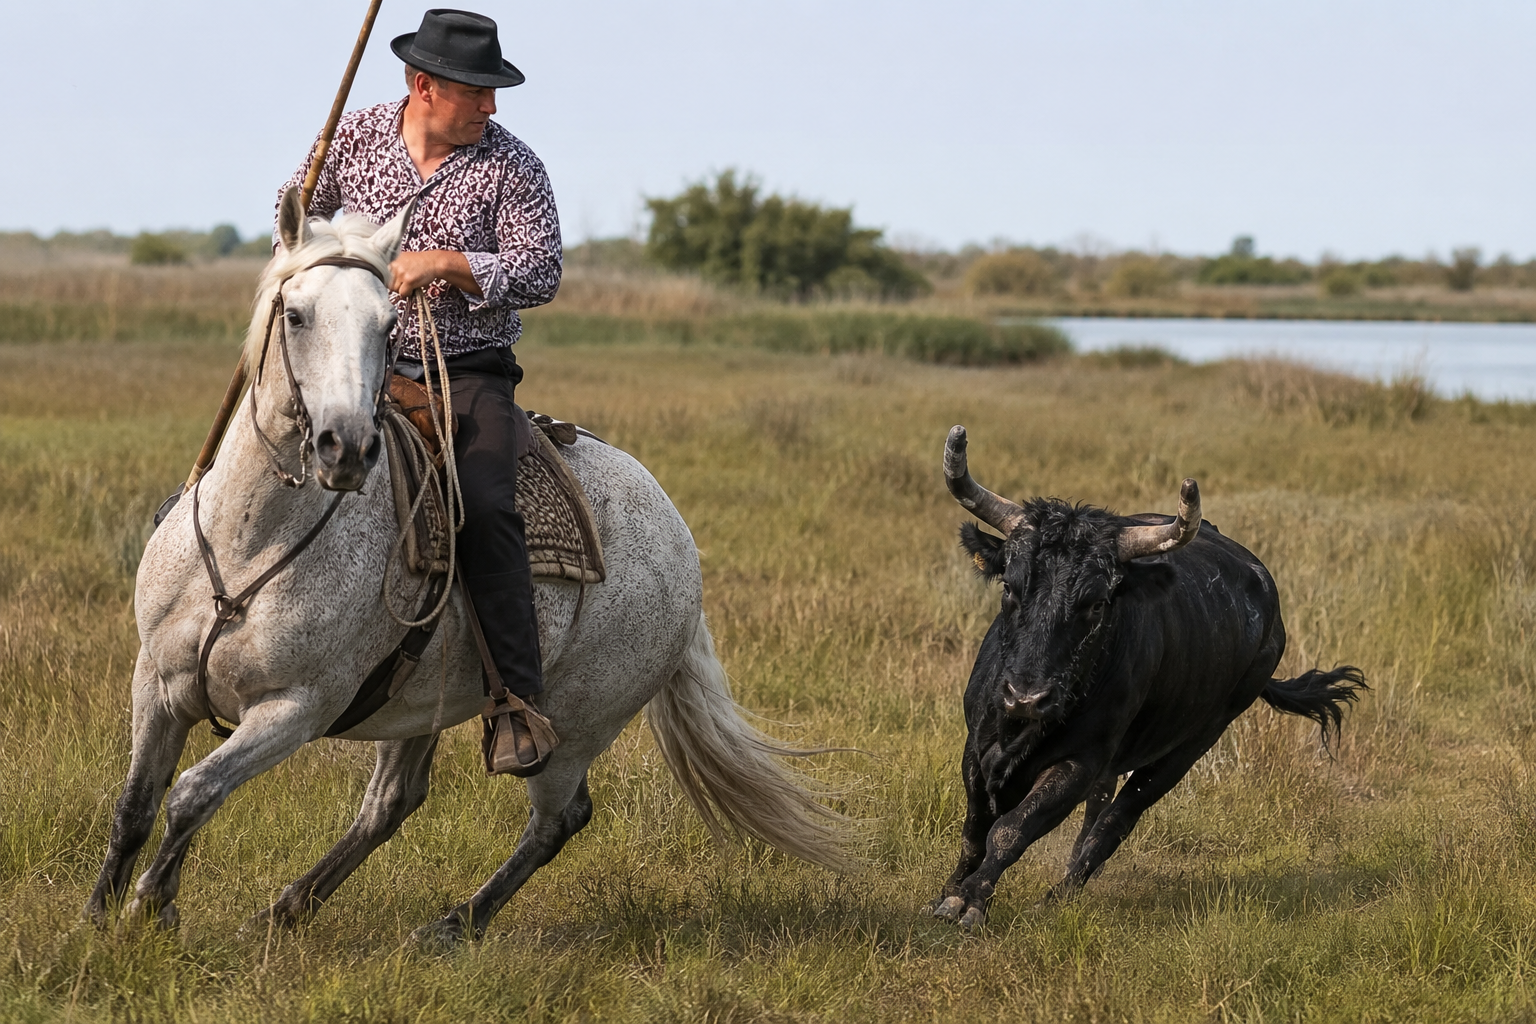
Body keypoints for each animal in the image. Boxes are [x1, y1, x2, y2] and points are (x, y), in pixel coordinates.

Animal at [85, 188, 850, 947]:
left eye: (389, 324)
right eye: (296, 315)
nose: (346, 448)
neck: (252, 542)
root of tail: (677, 535)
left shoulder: (294, 709)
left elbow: (193, 794)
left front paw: (150, 906)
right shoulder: (156, 682)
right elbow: (136, 804)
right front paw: (97, 916)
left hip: (578, 725)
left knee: (557, 820)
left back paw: (453, 924)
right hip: (421, 700)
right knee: (391, 804)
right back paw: (286, 911)